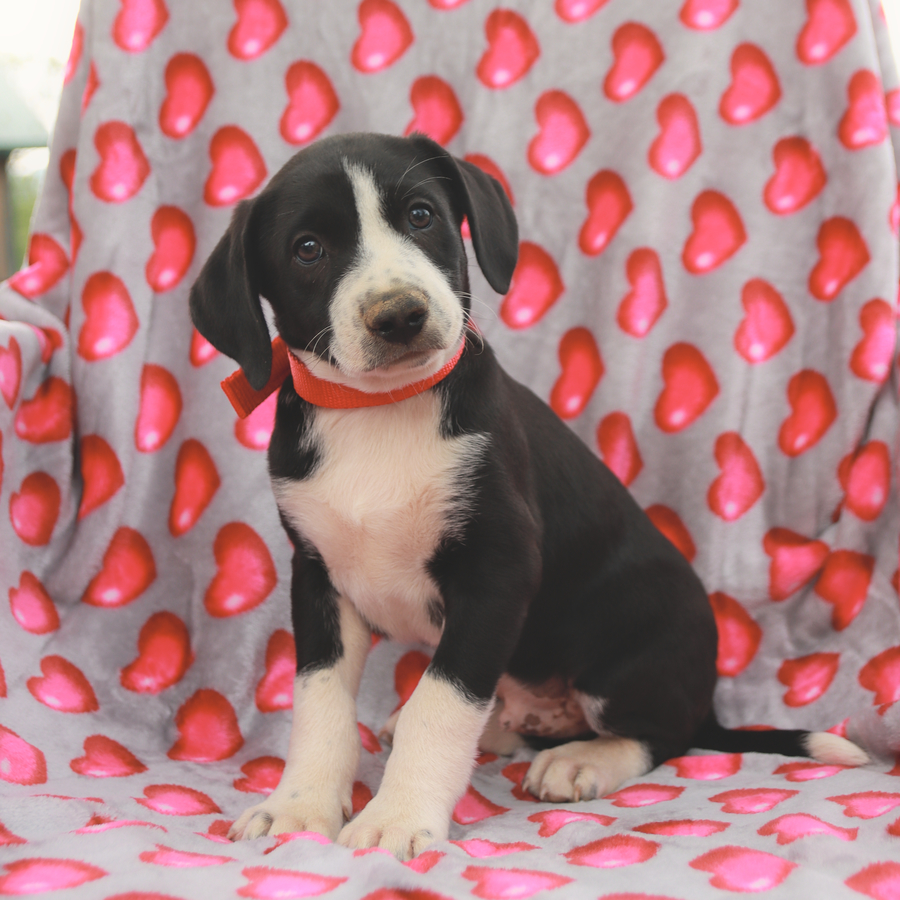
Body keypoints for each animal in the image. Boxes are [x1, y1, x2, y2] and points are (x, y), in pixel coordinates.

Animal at [188, 132, 864, 856]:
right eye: (307, 249)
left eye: (422, 215)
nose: (399, 315)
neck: (379, 411)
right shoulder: (318, 577)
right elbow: (321, 702)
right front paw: (299, 806)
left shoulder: (498, 573)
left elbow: (442, 701)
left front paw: (397, 817)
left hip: (626, 649)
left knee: (663, 735)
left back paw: (582, 759)